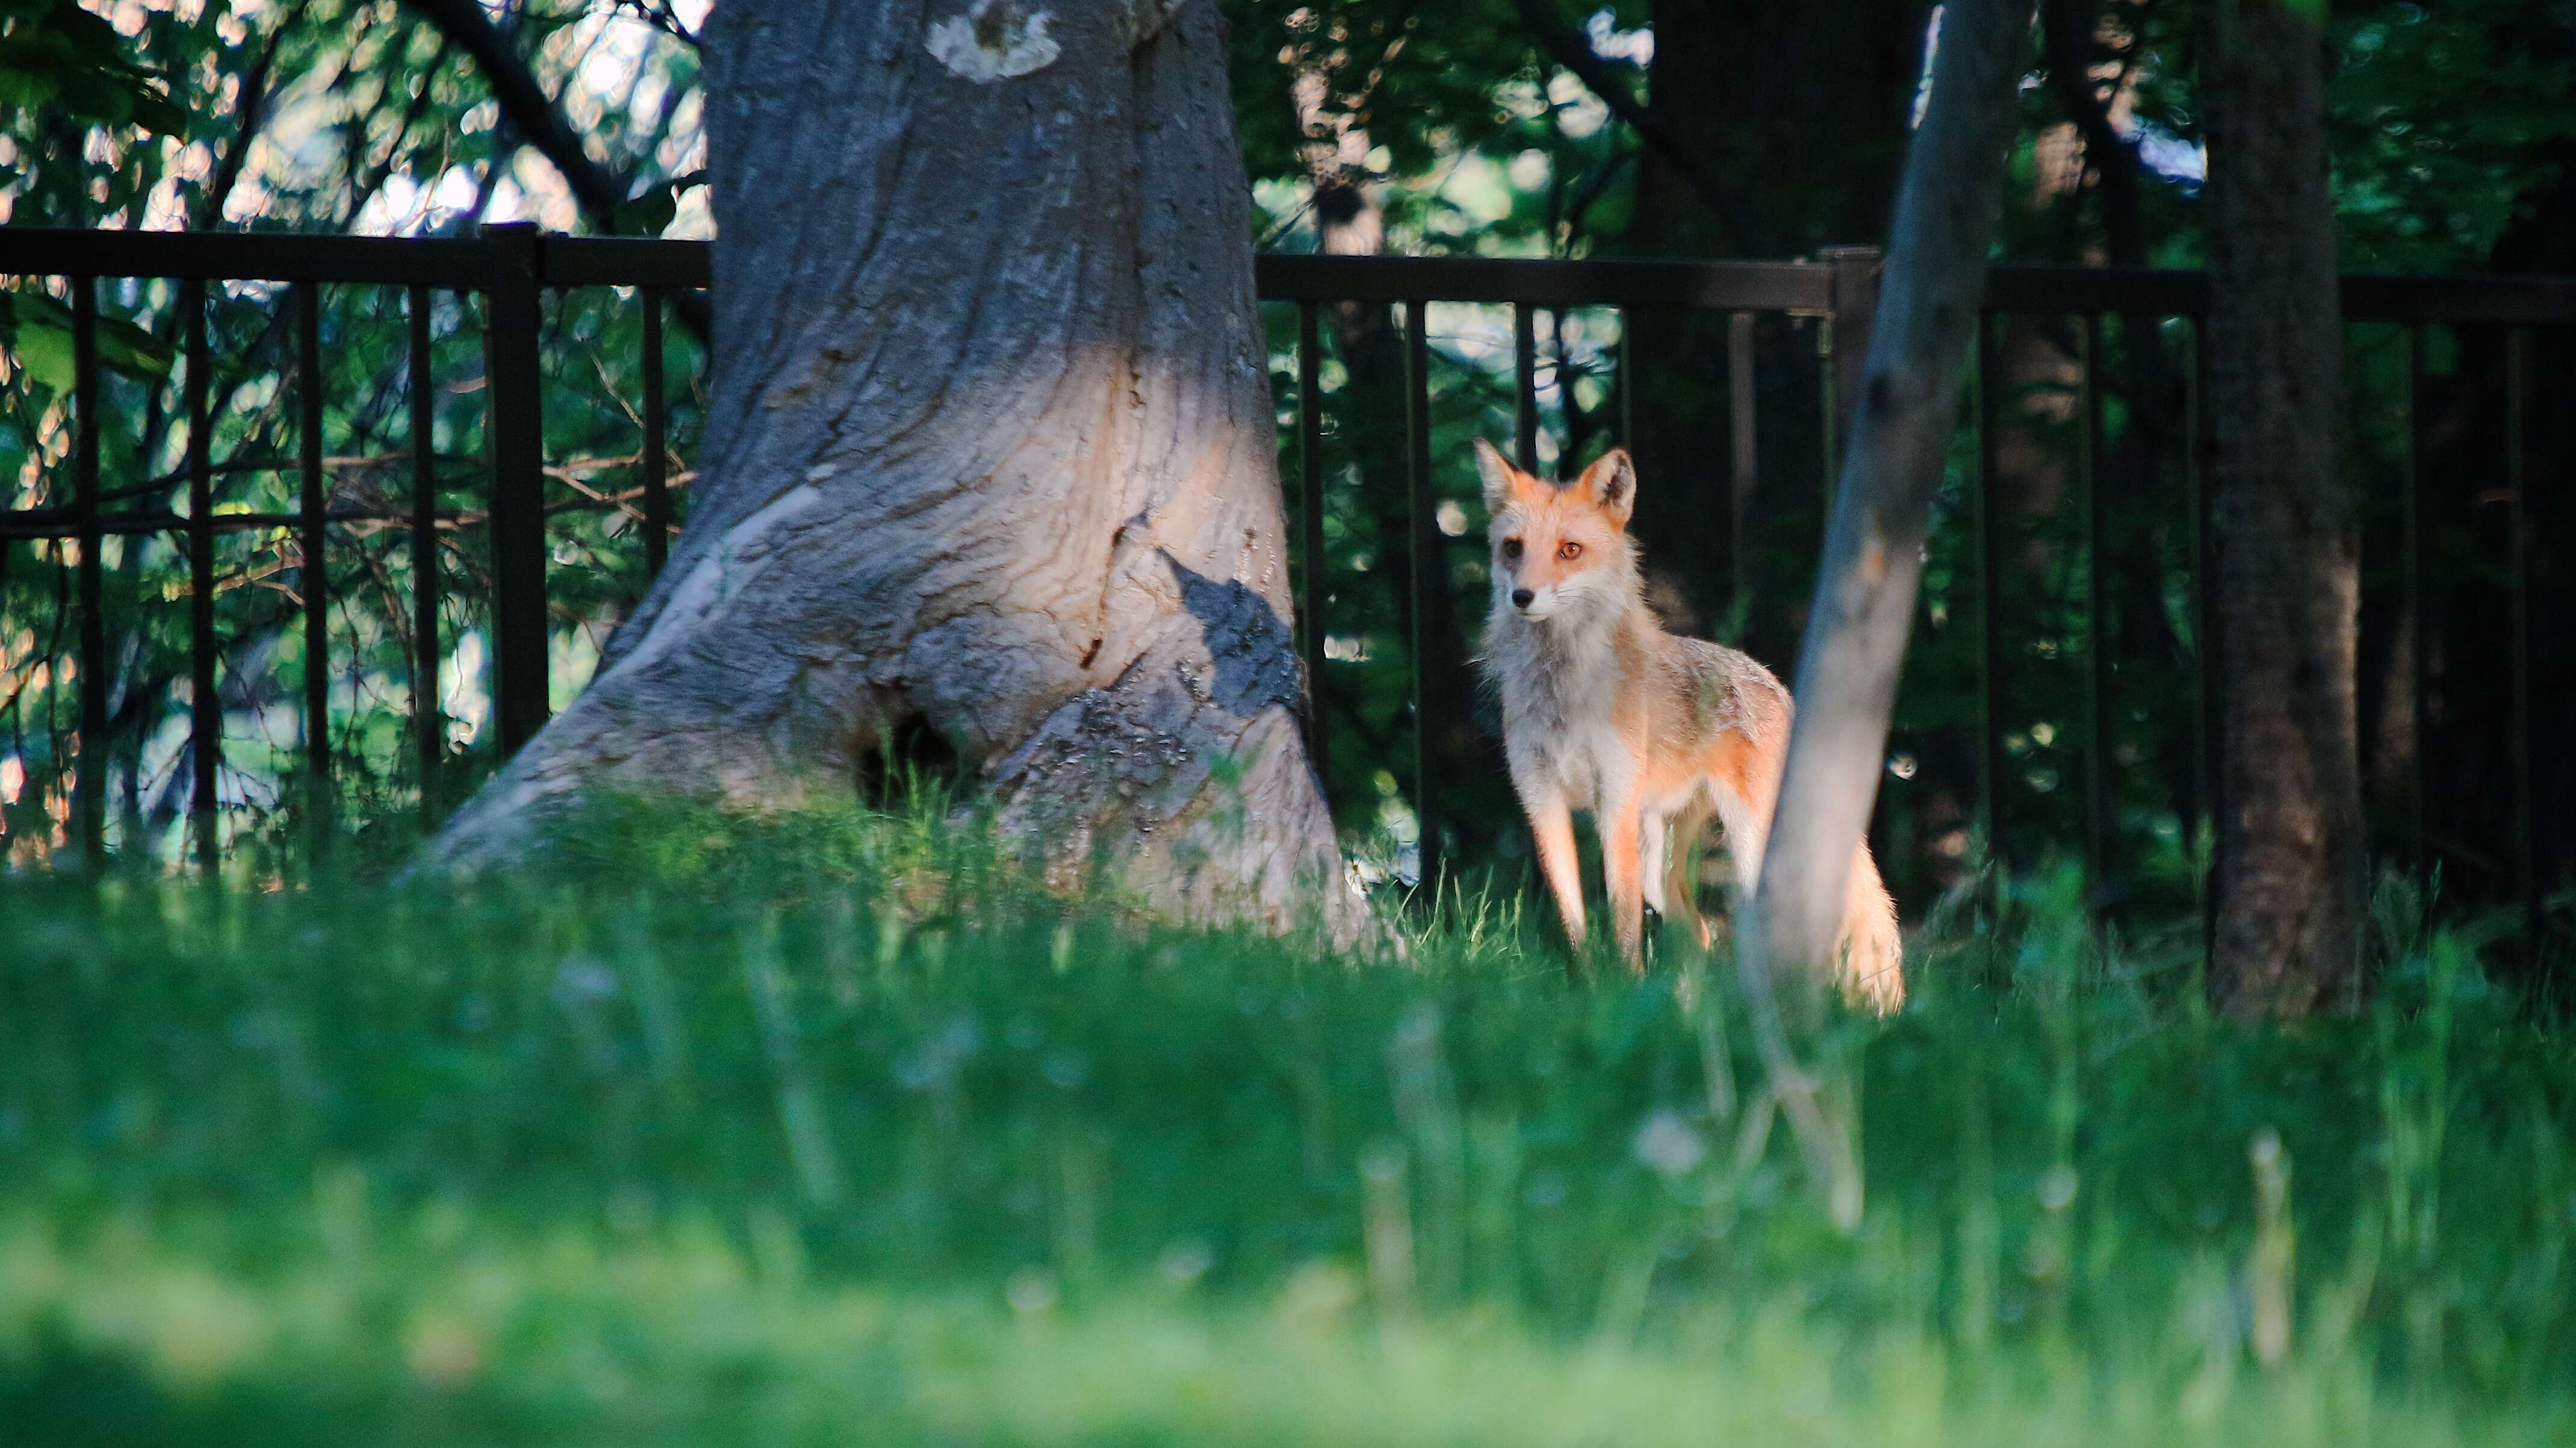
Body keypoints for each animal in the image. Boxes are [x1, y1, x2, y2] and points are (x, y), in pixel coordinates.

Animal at [1483, 432, 1906, 1010]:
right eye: (1512, 548)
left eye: (1569, 550)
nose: (1521, 596)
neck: (1563, 696)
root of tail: (1778, 684)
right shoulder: (1541, 801)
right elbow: (1576, 927)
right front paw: (1594, 998)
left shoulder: (1613, 802)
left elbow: (1622, 927)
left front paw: (1622, 995)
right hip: (1661, 866)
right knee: (1701, 931)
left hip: (1751, 849)